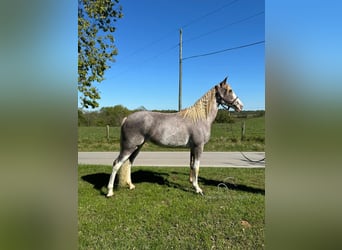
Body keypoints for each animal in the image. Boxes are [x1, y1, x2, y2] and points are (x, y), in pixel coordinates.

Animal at [107, 76, 243, 197]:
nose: (240, 106)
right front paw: (198, 189)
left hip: (137, 147)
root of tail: (126, 119)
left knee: (129, 163)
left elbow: (192, 165)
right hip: (129, 147)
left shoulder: (193, 148)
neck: (200, 118)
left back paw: (131, 186)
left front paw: (192, 183)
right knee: (116, 163)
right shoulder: (199, 146)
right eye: (230, 90)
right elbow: (197, 166)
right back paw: (109, 192)